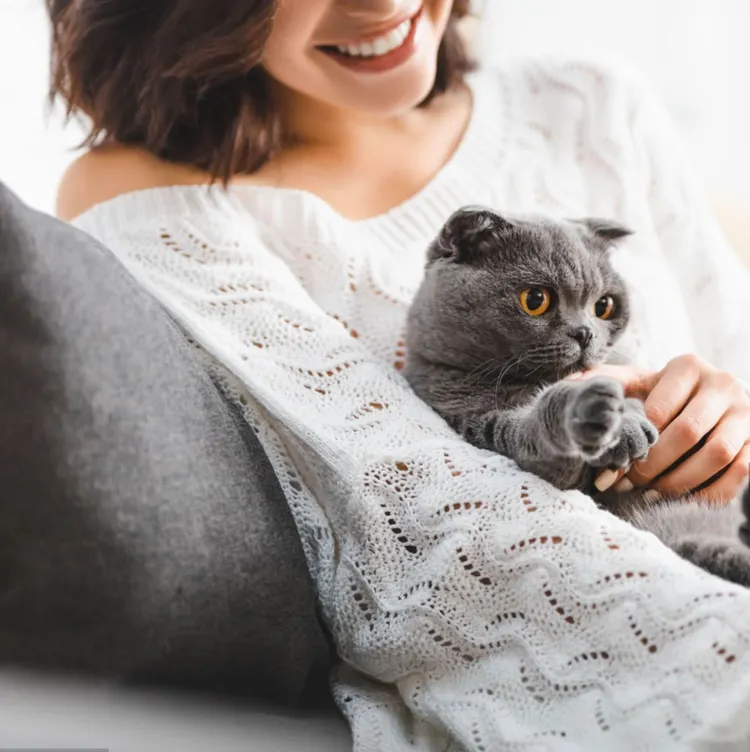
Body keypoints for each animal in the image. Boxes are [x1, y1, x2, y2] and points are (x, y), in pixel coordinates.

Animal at [408, 207, 750, 588]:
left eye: (604, 306)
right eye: (535, 300)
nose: (585, 333)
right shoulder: (476, 418)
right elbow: (540, 436)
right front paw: (596, 412)